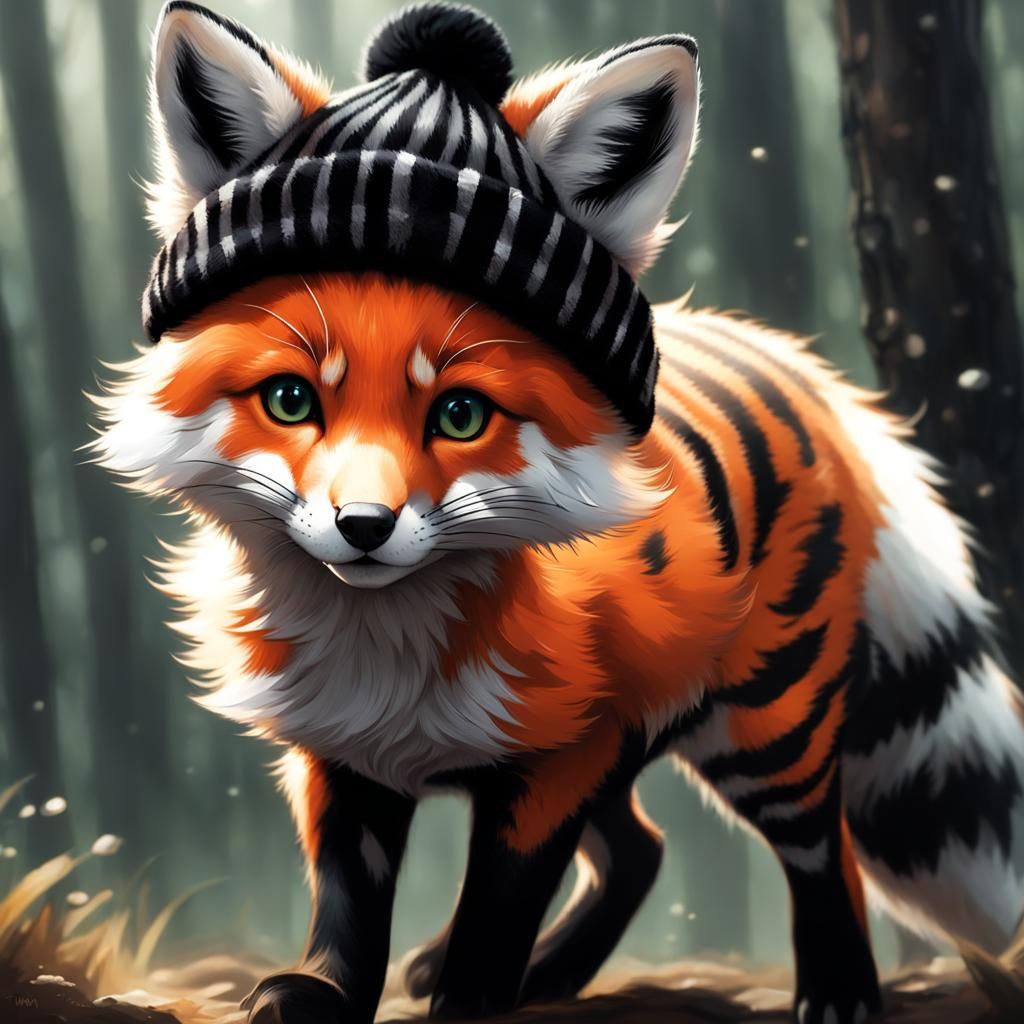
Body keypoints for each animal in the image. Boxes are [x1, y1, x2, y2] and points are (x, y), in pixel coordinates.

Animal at [91, 3, 1024, 1023]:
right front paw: (331, 992)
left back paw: (839, 993)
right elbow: (348, 909)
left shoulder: (551, 769)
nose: (365, 527)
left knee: (823, 850)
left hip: (765, 729)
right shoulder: (343, 755)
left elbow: (495, 917)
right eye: (292, 400)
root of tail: (801, 365)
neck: (392, 659)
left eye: (461, 415)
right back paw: (557, 975)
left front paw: (470, 1000)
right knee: (643, 851)